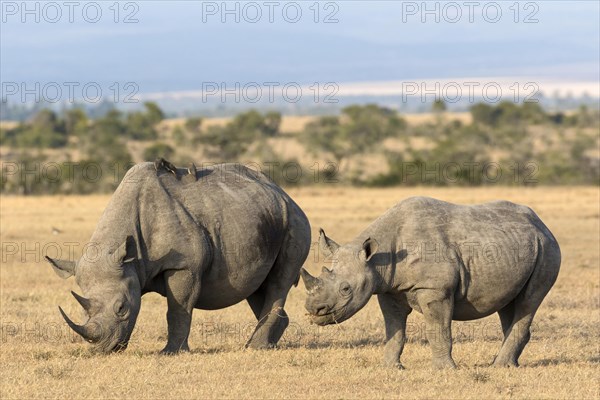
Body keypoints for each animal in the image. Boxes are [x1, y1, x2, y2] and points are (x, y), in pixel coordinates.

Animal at [47, 159, 310, 354]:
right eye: (84, 311)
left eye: (122, 308)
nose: (103, 348)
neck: (131, 258)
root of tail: (282, 191)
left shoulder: (183, 265)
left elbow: (178, 308)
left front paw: (171, 352)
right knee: (256, 288)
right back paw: (264, 344)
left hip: (295, 220)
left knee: (278, 281)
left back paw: (256, 347)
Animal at [302, 197, 560, 368]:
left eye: (346, 289)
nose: (314, 311)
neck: (377, 259)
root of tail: (542, 224)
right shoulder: (389, 289)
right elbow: (394, 328)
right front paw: (391, 368)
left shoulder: (435, 288)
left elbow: (437, 328)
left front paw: (444, 370)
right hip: (520, 247)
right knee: (509, 304)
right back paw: (503, 364)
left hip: (547, 248)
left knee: (528, 302)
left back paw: (499, 366)